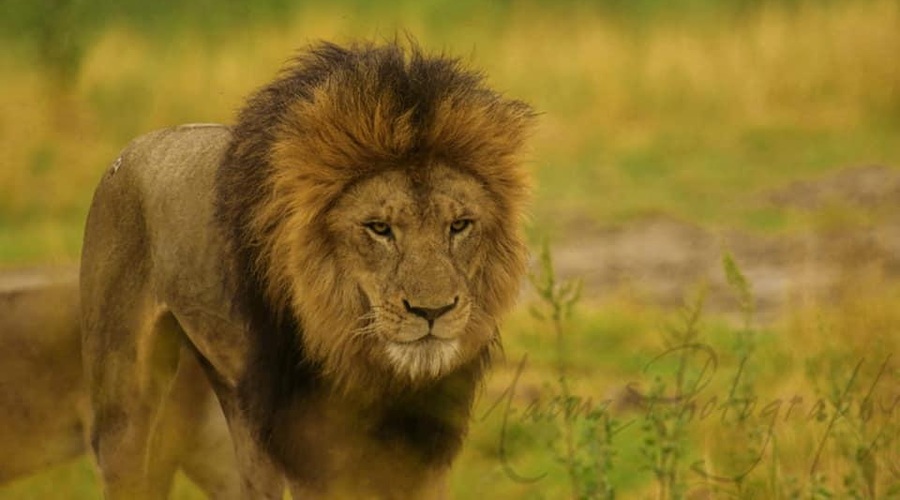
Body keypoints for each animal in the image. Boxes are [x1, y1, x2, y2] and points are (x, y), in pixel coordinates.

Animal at [81, 40, 532, 500]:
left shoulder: (424, 444)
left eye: (459, 225)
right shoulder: (305, 449)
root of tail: (137, 145)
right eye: (379, 228)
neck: (370, 366)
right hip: (125, 404)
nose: (432, 311)